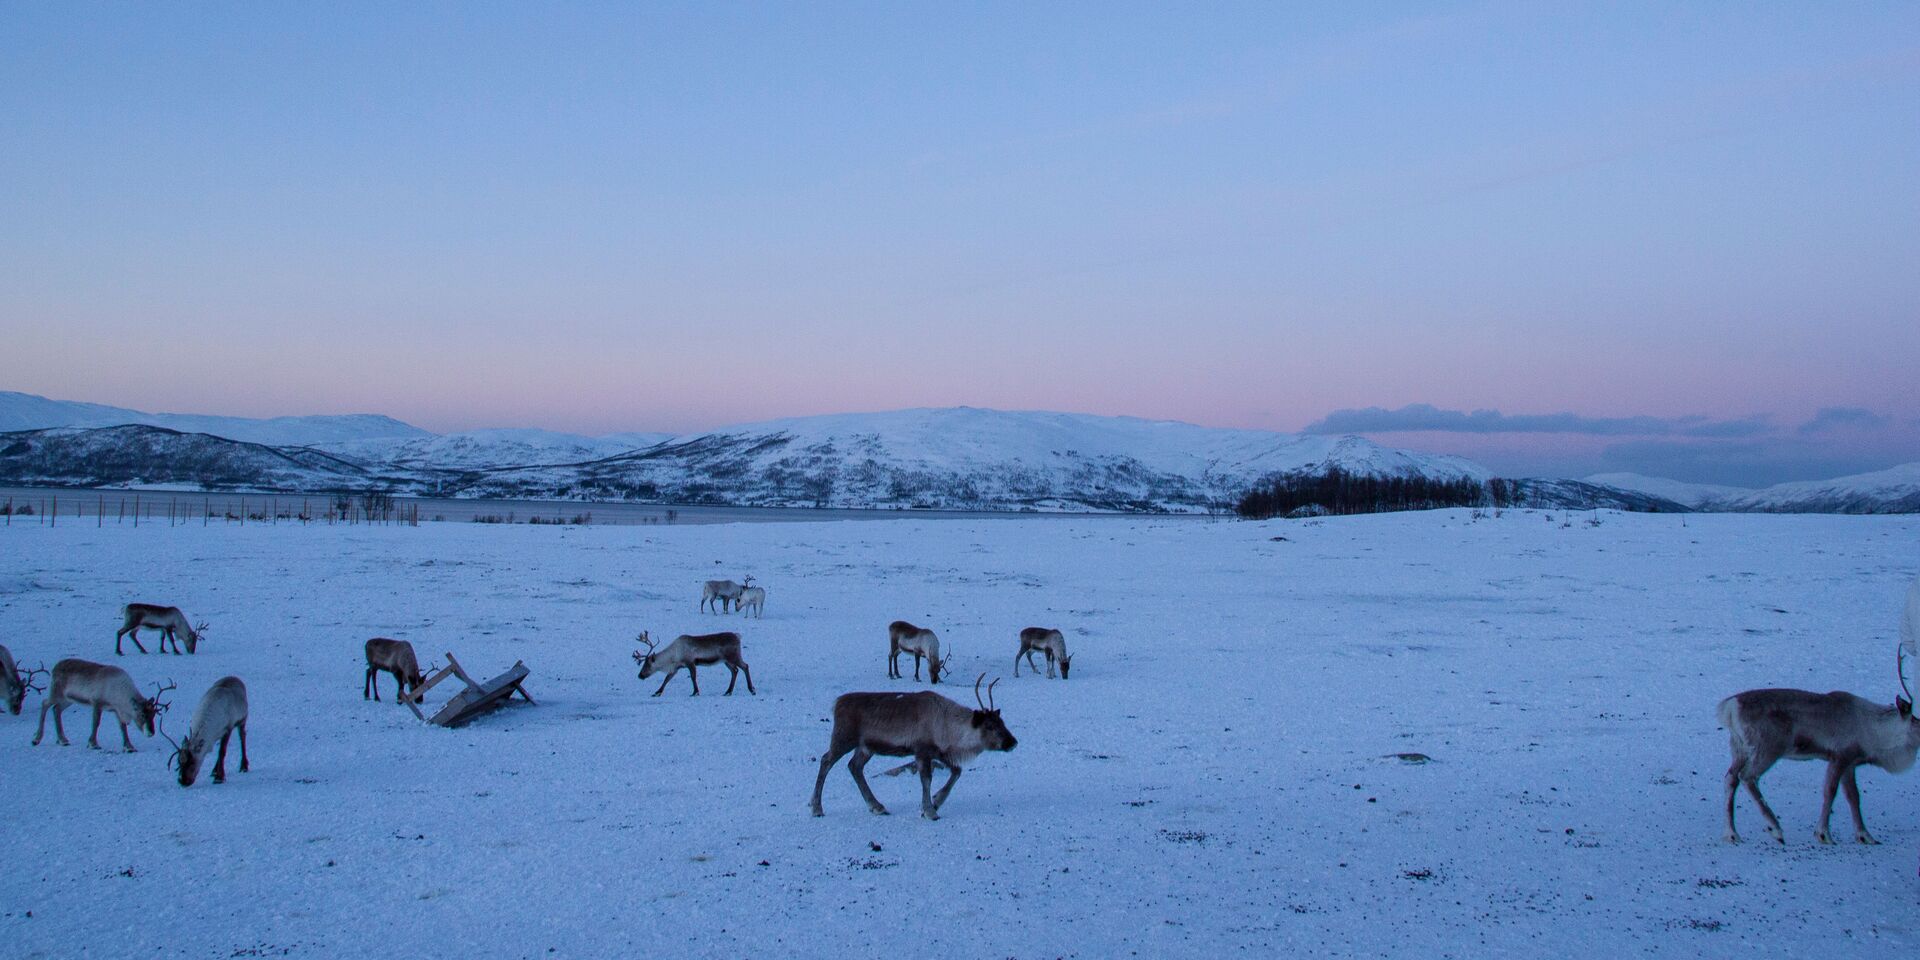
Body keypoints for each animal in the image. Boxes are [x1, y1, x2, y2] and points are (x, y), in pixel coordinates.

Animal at [32, 660, 173, 752]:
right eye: (142, 714)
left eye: (154, 714)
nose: (151, 733)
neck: (120, 694)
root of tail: (55, 666)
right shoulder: (97, 703)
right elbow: (96, 723)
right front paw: (93, 744)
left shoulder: (116, 710)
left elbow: (122, 727)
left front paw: (129, 747)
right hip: (56, 693)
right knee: (45, 704)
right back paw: (36, 739)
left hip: (68, 700)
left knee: (56, 709)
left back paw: (63, 740)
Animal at [810, 674, 1017, 820]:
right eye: (989, 726)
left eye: (1002, 722)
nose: (1012, 742)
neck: (948, 727)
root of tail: (836, 703)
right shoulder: (922, 749)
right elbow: (926, 779)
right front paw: (930, 811)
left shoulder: (938, 752)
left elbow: (957, 771)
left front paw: (936, 801)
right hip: (844, 737)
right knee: (826, 760)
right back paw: (816, 807)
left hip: (866, 747)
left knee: (854, 766)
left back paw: (877, 806)